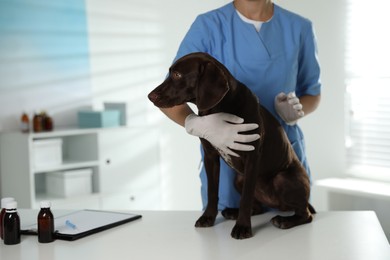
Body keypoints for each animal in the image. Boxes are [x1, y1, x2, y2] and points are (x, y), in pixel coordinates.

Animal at [148, 51, 316, 239]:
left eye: (177, 75)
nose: (149, 96)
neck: (220, 109)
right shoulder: (210, 156)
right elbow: (213, 192)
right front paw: (208, 217)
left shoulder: (252, 157)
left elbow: (245, 198)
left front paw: (242, 227)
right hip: (239, 179)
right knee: (258, 207)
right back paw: (232, 212)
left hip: (282, 179)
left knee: (305, 214)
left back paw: (284, 221)